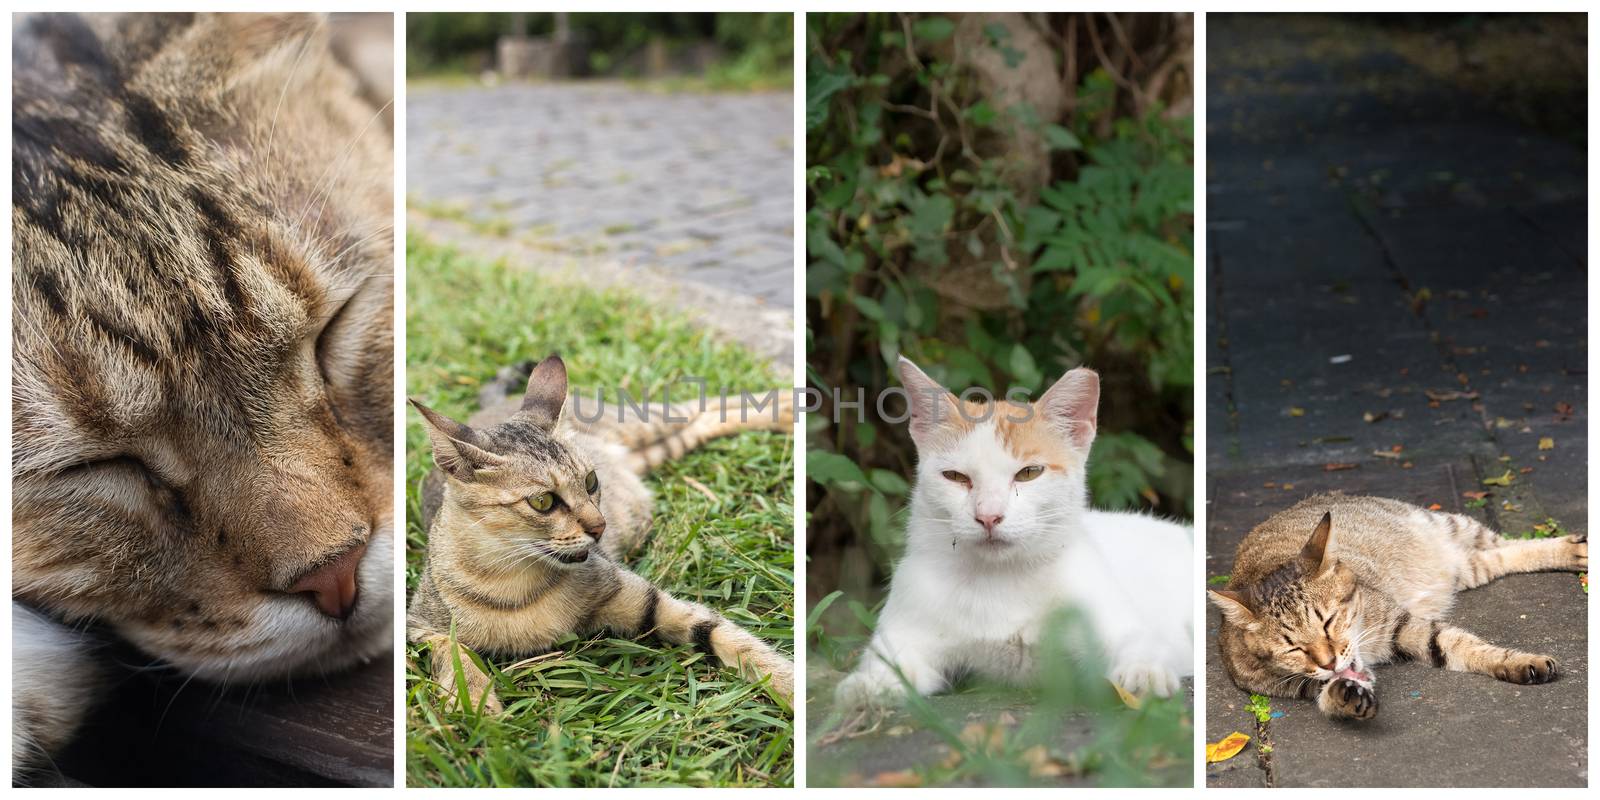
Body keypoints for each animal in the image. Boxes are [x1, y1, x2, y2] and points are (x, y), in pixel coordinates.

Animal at [406, 356, 793, 713]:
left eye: (590, 481)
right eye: (543, 501)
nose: (600, 527)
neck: (514, 583)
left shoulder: (649, 601)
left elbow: (731, 638)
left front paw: (789, 685)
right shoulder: (420, 626)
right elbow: (450, 649)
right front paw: (473, 699)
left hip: (647, 422)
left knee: (705, 405)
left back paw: (789, 409)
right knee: (702, 421)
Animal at [838, 356, 1190, 707]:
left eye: (1029, 473)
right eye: (955, 477)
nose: (988, 516)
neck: (1000, 579)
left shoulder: (1117, 624)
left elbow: (1140, 644)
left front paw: (1144, 673)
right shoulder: (905, 632)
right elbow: (889, 662)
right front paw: (869, 685)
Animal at [1209, 496, 1587, 723]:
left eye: (1329, 622)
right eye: (1293, 648)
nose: (1329, 662)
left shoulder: (1399, 622)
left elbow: (1463, 645)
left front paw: (1519, 662)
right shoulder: (1289, 685)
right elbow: (1326, 694)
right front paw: (1344, 696)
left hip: (1451, 524)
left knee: (1507, 543)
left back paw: (1571, 550)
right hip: (1468, 568)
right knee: (1498, 557)